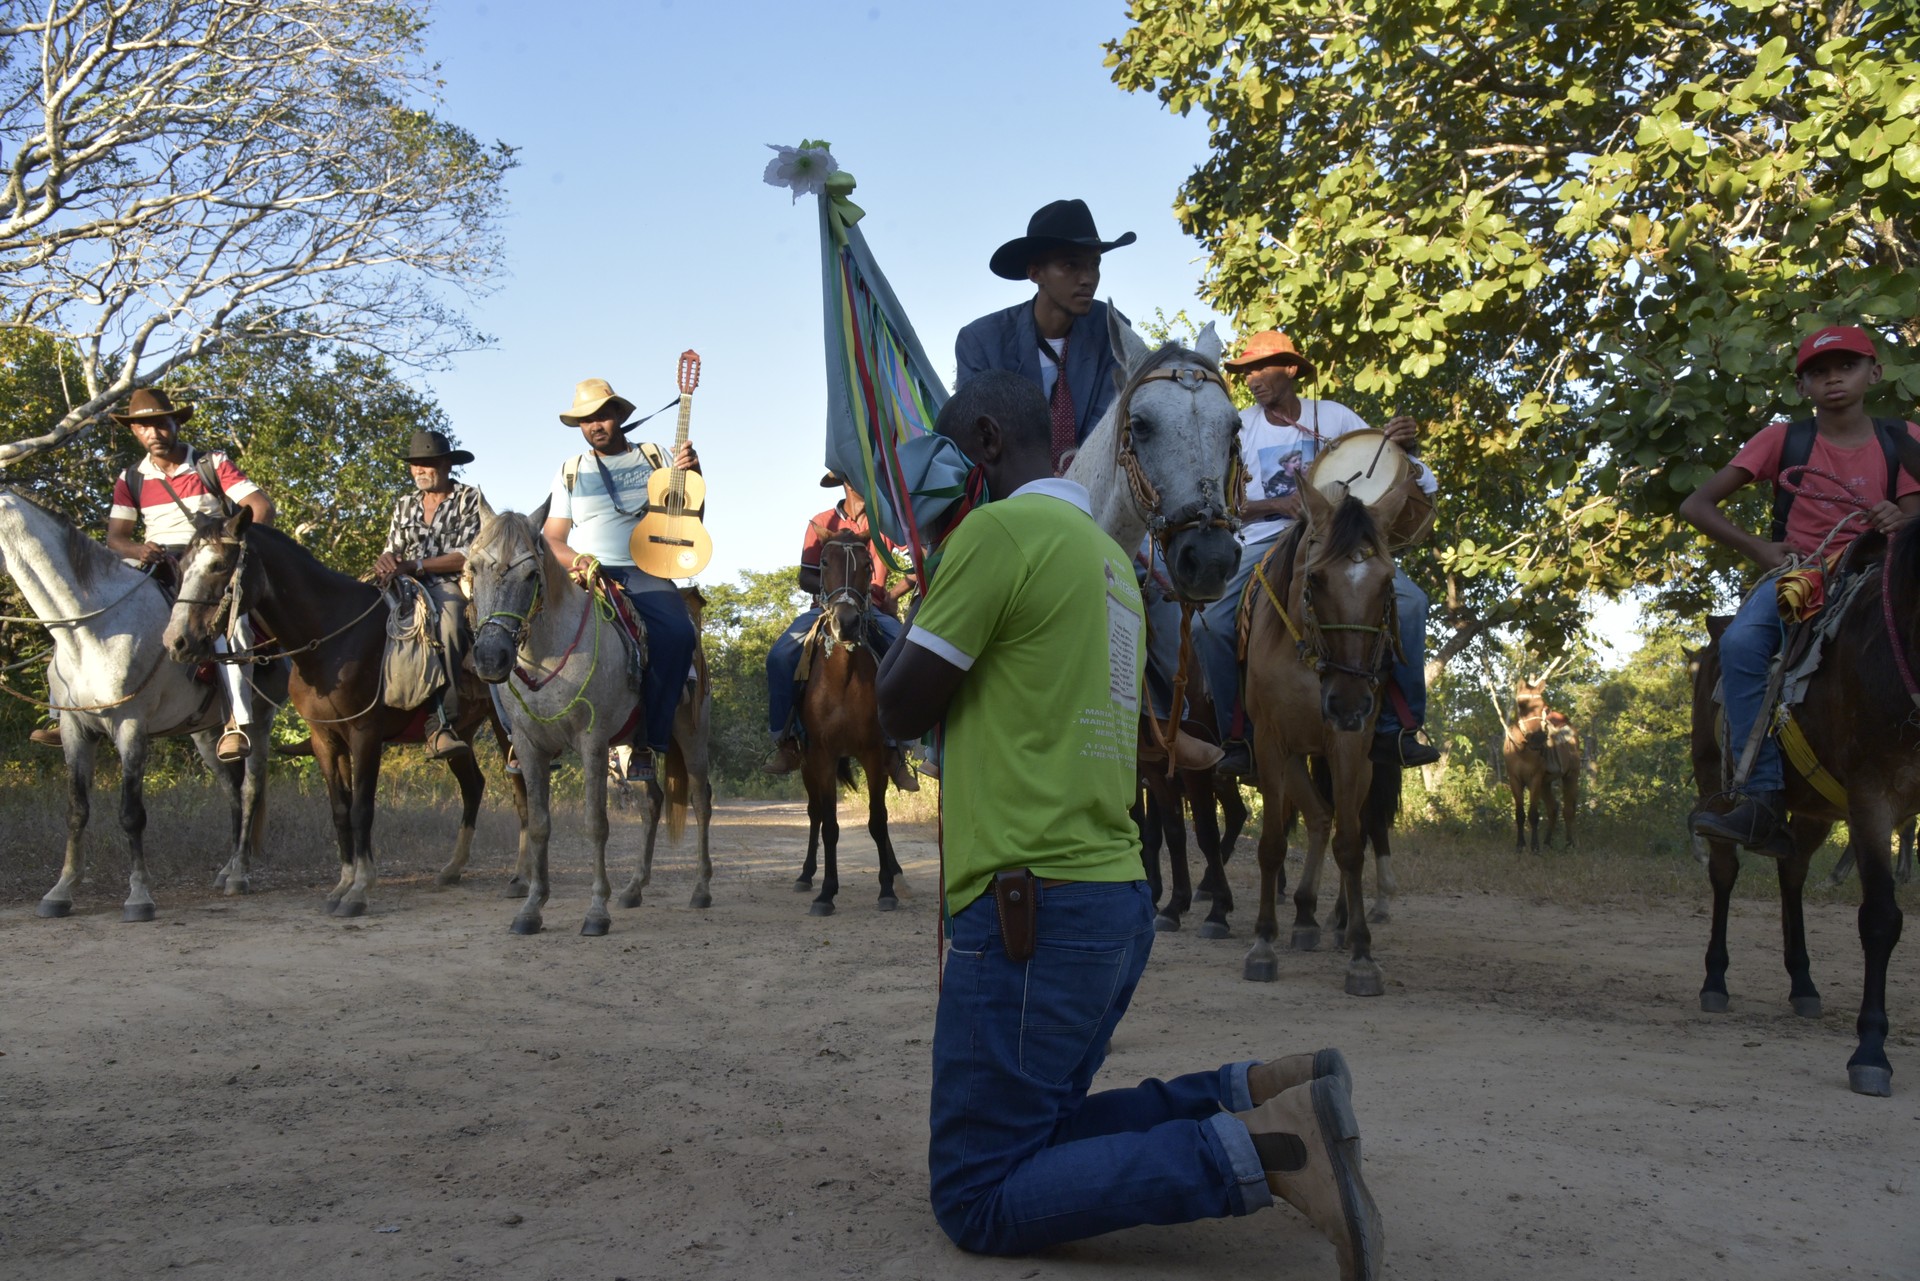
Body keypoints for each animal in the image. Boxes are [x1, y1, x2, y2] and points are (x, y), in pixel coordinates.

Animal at [1, 485, 280, 918]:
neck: (90, 630)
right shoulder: (73, 730)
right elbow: (76, 810)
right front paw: (61, 890)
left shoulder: (131, 727)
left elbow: (131, 815)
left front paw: (138, 895)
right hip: (207, 734)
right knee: (232, 791)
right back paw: (227, 869)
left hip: (259, 723)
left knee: (250, 790)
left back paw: (239, 874)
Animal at [162, 507, 526, 918]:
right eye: (182, 565)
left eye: (219, 565)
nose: (176, 642)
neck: (331, 636)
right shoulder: (325, 738)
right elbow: (340, 809)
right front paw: (342, 885)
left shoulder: (365, 734)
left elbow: (362, 808)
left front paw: (359, 891)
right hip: (461, 732)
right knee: (473, 784)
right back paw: (452, 869)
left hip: (506, 726)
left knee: (520, 789)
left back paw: (521, 877)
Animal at [798, 537, 910, 918]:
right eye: (824, 562)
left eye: (867, 565)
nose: (845, 622)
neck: (843, 680)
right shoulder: (822, 756)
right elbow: (830, 825)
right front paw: (826, 893)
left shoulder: (874, 754)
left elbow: (878, 820)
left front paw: (887, 890)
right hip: (805, 765)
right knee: (815, 814)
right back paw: (805, 875)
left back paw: (897, 874)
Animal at [1697, 470, 1920, 1090]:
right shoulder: (1872, 796)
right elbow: (1880, 918)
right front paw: (1871, 1052)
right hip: (1713, 780)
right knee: (1725, 871)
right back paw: (1715, 981)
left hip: (1817, 806)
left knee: (1791, 869)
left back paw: (1803, 985)